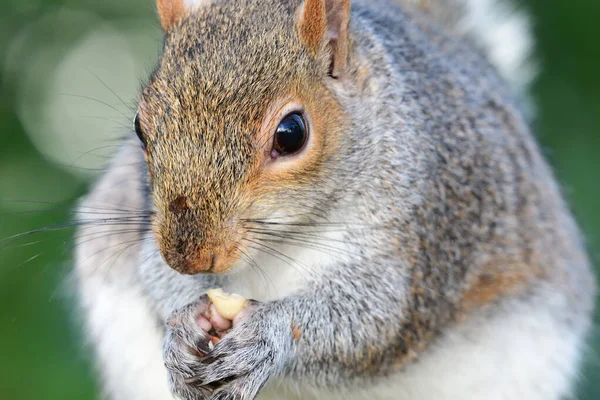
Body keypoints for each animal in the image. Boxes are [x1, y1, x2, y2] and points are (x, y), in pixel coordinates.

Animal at [74, 0, 596, 398]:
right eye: (140, 127)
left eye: (291, 133)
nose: (188, 256)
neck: (285, 240)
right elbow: (152, 274)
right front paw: (183, 324)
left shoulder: (427, 228)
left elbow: (376, 321)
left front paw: (269, 334)